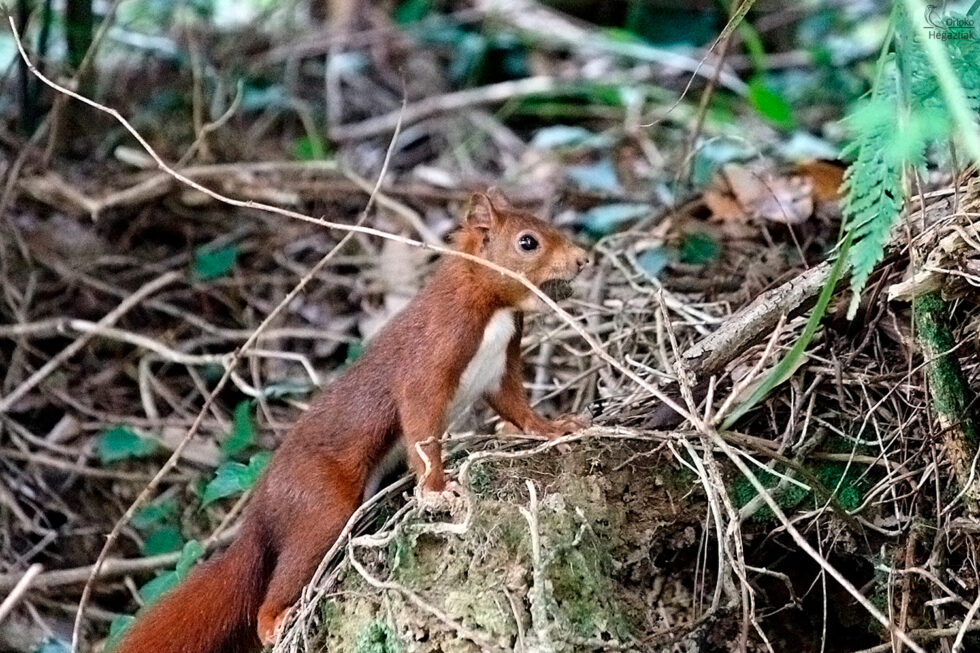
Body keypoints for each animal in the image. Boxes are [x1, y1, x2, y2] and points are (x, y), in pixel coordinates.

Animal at [112, 189, 591, 653]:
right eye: (528, 242)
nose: (583, 259)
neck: (495, 310)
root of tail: (262, 508)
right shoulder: (433, 354)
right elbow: (420, 422)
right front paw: (437, 488)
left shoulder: (500, 365)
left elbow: (516, 405)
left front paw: (554, 427)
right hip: (320, 503)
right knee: (282, 578)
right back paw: (276, 620)